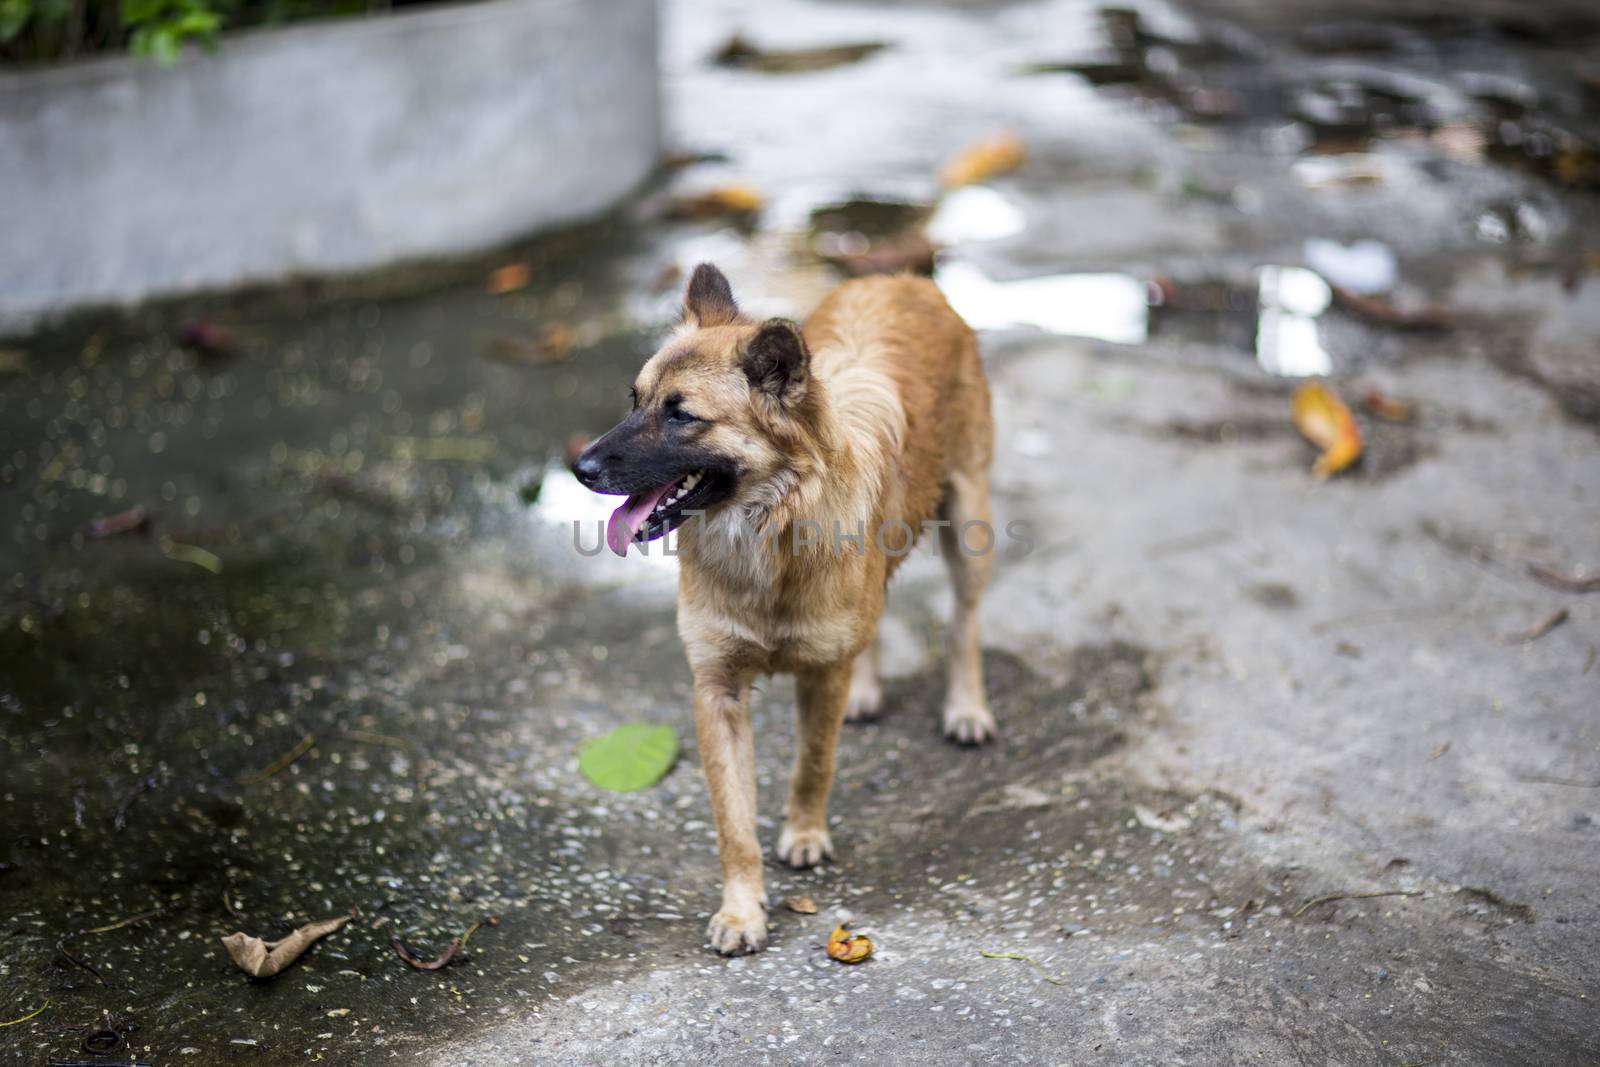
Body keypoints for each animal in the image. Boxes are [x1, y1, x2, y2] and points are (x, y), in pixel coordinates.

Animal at [576, 262, 992, 953]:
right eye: (635, 400)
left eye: (682, 416)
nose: (579, 468)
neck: (766, 527)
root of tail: (898, 276)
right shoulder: (715, 690)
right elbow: (733, 820)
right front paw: (743, 910)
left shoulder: (820, 675)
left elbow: (812, 764)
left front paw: (804, 834)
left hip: (968, 522)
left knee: (964, 622)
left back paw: (966, 707)